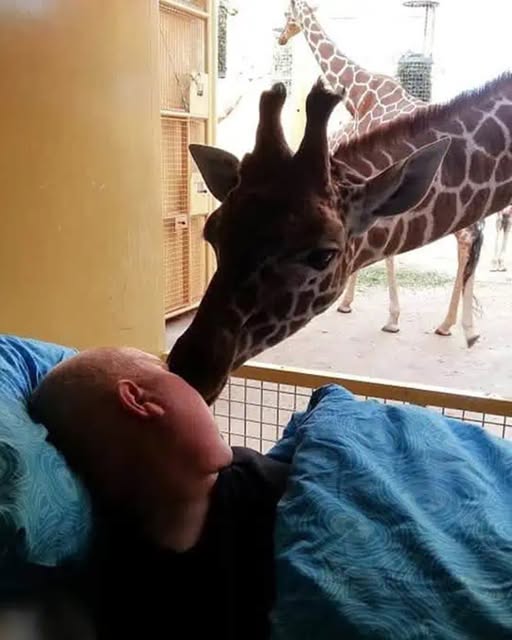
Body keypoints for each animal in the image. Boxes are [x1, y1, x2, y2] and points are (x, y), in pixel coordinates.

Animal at [278, 0, 484, 344]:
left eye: (286, 16)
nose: (281, 37)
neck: (360, 94)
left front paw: (390, 317)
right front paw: (357, 305)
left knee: (468, 238)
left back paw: (454, 324)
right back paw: (454, 324)